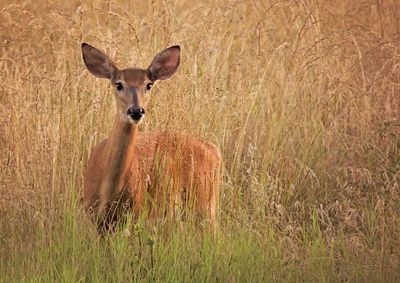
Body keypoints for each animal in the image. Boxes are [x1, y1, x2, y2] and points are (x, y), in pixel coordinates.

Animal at [81, 43, 222, 234]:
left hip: (205, 201)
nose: (136, 110)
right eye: (119, 84)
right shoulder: (94, 217)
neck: (109, 190)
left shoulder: (134, 214)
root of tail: (212, 148)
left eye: (148, 85)